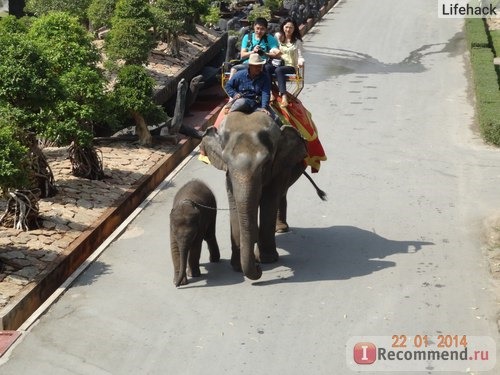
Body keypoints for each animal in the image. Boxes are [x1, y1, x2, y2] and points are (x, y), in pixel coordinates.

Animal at [203, 110, 324, 280]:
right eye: (226, 161)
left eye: (265, 163)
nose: (259, 268)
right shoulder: (229, 176)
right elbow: (235, 204)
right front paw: (237, 266)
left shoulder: (278, 164)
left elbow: (269, 199)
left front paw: (266, 260)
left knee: (281, 193)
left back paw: (280, 228)